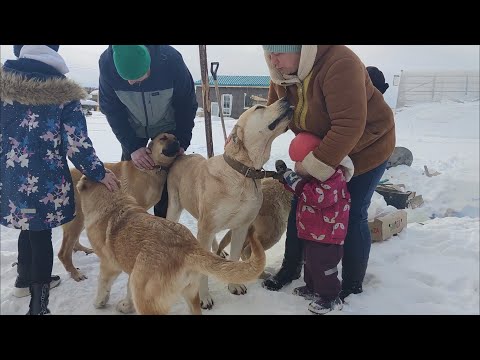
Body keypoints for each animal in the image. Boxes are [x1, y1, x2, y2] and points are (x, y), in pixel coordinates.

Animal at [57, 132, 180, 282]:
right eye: (163, 138)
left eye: (175, 138)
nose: (178, 143)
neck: (153, 168)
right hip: (77, 219)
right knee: (63, 253)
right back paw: (75, 274)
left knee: (73, 243)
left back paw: (83, 249)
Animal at [76, 175, 266, 316]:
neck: (113, 204)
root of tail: (187, 248)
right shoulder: (132, 273)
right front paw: (125, 306)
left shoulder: (109, 265)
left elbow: (102, 285)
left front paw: (100, 302)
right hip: (189, 294)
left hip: (146, 300)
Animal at [165, 98, 292, 310]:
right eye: (259, 107)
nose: (286, 99)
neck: (243, 173)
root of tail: (182, 155)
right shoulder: (206, 227)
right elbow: (202, 270)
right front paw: (204, 298)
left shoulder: (241, 227)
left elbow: (235, 255)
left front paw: (234, 285)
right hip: (175, 207)